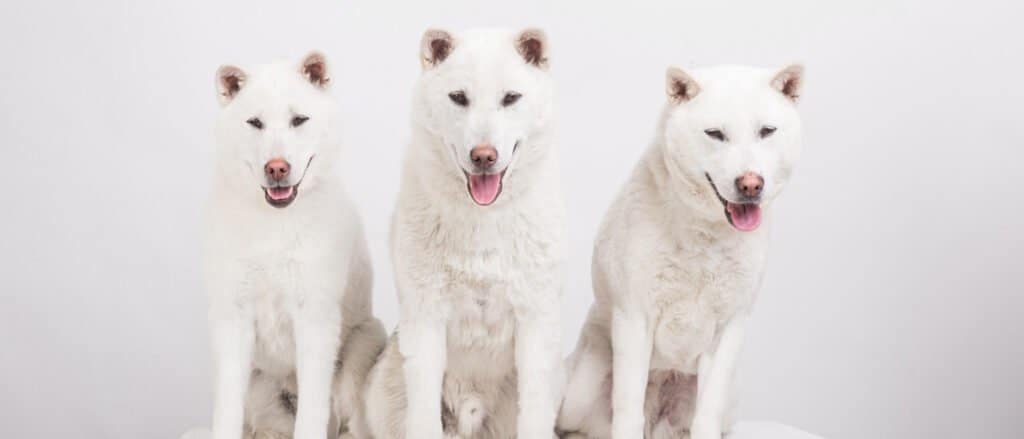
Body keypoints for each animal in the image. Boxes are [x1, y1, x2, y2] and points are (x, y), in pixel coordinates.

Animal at [204, 52, 387, 437]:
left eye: (299, 120)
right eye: (254, 122)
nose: (277, 168)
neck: (276, 224)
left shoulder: (315, 318)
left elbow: (313, 412)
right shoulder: (232, 319)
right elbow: (226, 409)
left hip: (361, 350)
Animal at [362, 29, 569, 435]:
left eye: (510, 98)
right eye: (458, 97)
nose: (483, 156)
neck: (483, 220)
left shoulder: (535, 323)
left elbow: (533, 418)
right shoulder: (426, 320)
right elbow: (424, 419)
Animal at [557, 63, 802, 435]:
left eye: (766, 131)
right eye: (715, 134)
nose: (751, 185)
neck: (705, 235)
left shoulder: (730, 327)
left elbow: (707, 413)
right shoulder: (634, 319)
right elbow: (628, 410)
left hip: (728, 397)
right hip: (578, 392)